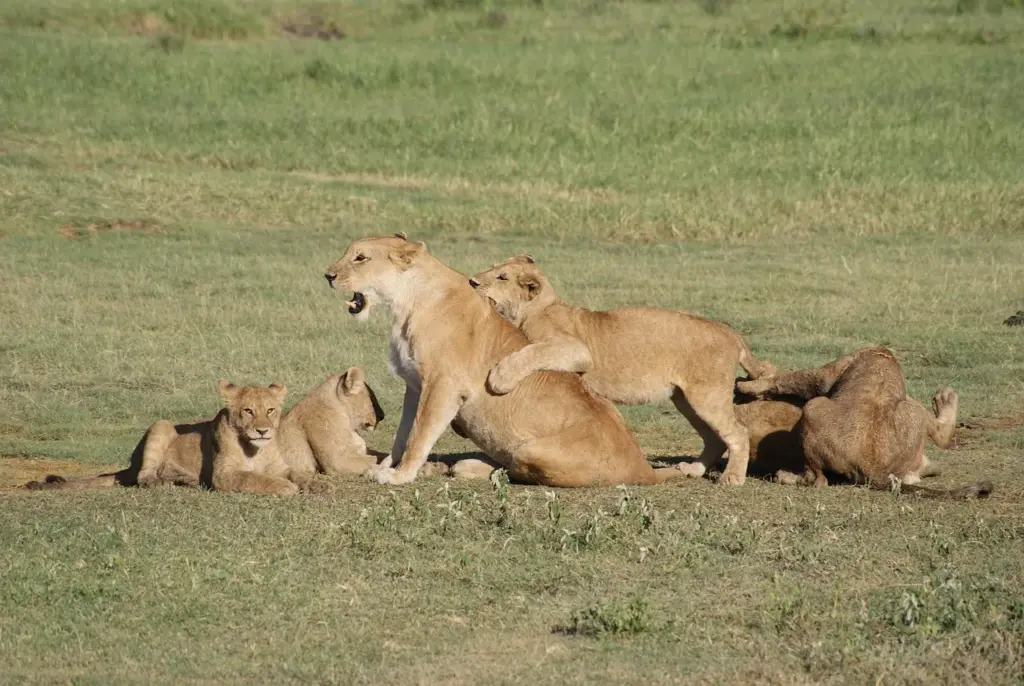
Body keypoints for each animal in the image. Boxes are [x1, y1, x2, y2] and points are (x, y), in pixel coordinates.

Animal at [26, 380, 298, 496]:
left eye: (270, 410)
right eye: (248, 411)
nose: (262, 431)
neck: (256, 448)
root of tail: (130, 466)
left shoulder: (282, 467)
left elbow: (298, 474)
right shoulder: (223, 475)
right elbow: (251, 477)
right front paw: (284, 487)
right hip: (161, 425)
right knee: (144, 478)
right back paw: (166, 482)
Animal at [323, 234, 682, 488]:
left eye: (360, 258)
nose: (328, 275)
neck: (406, 302)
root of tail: (644, 469)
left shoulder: (443, 385)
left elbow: (419, 434)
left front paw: (400, 475)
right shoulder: (414, 384)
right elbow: (402, 433)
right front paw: (386, 466)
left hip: (530, 449)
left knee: (517, 471)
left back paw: (470, 467)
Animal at [465, 254, 775, 485]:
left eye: (502, 277)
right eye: (493, 268)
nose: (472, 281)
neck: (538, 308)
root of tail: (730, 332)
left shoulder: (577, 350)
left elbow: (533, 352)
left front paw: (500, 378)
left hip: (706, 395)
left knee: (737, 432)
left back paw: (732, 477)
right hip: (685, 399)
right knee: (714, 437)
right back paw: (693, 470)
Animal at [735, 348, 993, 498]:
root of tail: (871, 465)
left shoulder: (824, 376)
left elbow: (788, 378)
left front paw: (745, 386)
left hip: (813, 408)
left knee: (817, 480)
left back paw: (785, 476)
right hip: (912, 408)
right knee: (939, 434)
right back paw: (945, 400)